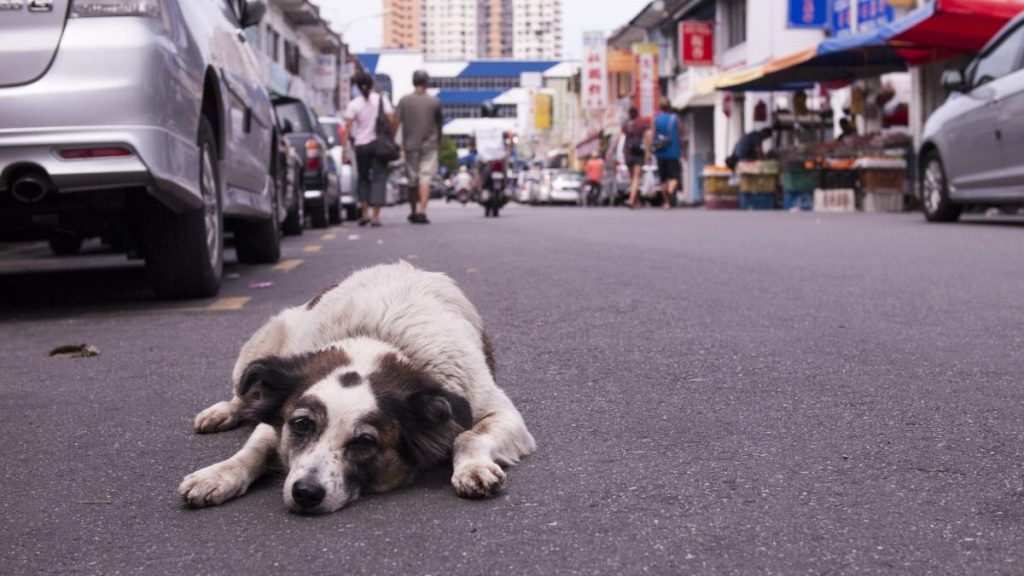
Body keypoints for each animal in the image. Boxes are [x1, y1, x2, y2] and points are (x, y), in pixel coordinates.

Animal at [180, 260, 540, 510]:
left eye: (365, 442)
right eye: (301, 425)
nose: (305, 493)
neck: (377, 341)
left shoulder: (496, 411)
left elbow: (468, 436)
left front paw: (473, 466)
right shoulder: (278, 414)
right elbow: (254, 447)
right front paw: (219, 473)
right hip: (261, 348)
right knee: (243, 393)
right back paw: (223, 411)